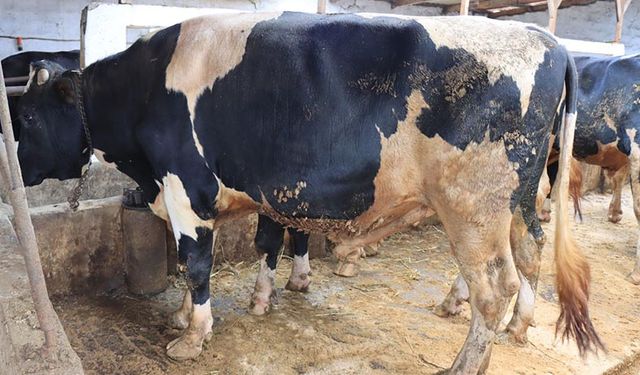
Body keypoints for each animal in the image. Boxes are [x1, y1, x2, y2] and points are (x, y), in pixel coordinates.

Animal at [16, 12, 604, 375]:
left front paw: (192, 336)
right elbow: (244, 250)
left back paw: (464, 362)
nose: (13, 171)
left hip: (472, 203)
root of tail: (547, 41)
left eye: (26, 118)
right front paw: (194, 313)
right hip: (516, 198)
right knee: (529, 253)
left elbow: (197, 263)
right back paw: (519, 328)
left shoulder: (187, 187)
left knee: (494, 285)